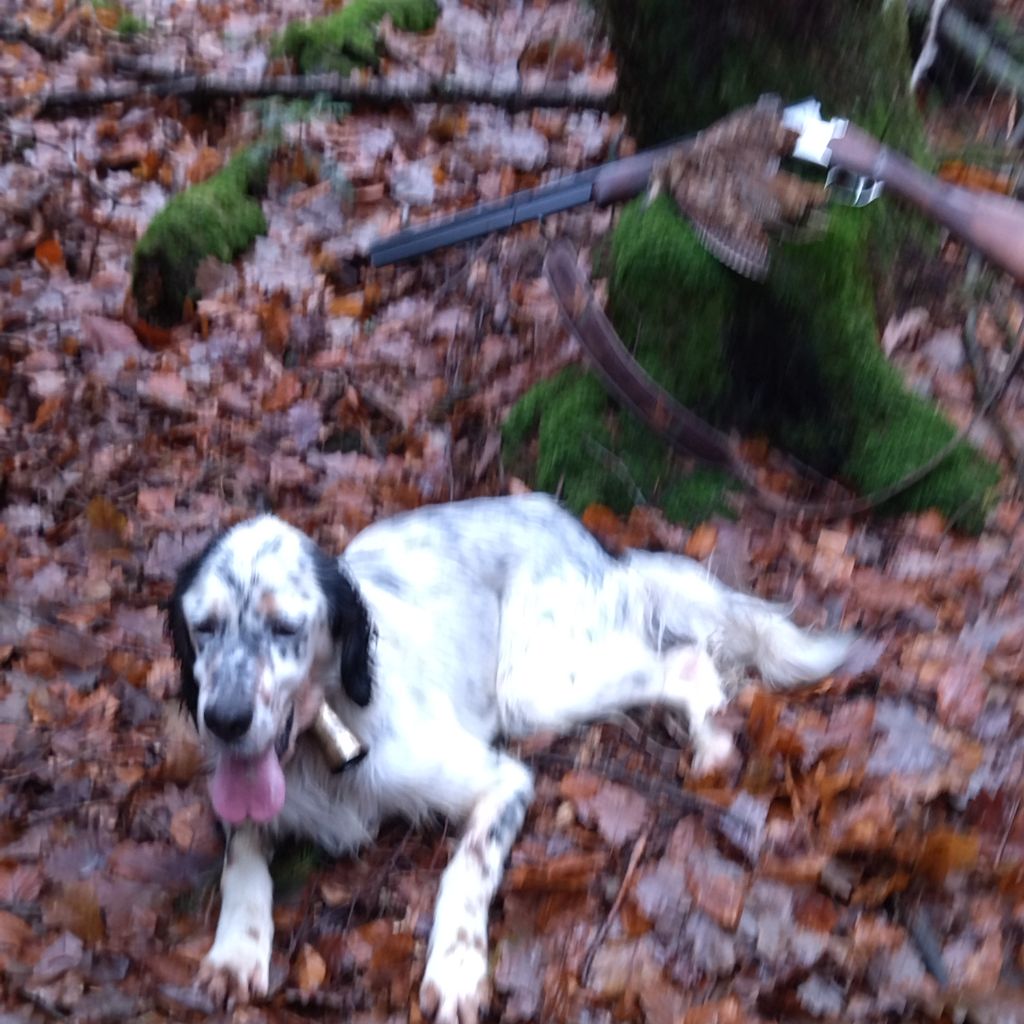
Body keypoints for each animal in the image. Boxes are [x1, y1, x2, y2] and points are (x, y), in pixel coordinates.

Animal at [167, 491, 847, 1019]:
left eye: (286, 628)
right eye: (204, 626)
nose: (223, 720)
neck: (324, 737)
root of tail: (586, 537)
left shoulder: (503, 779)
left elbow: (465, 869)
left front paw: (456, 969)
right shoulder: (241, 801)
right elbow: (241, 864)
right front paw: (235, 951)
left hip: (533, 687)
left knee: (683, 659)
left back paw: (711, 741)